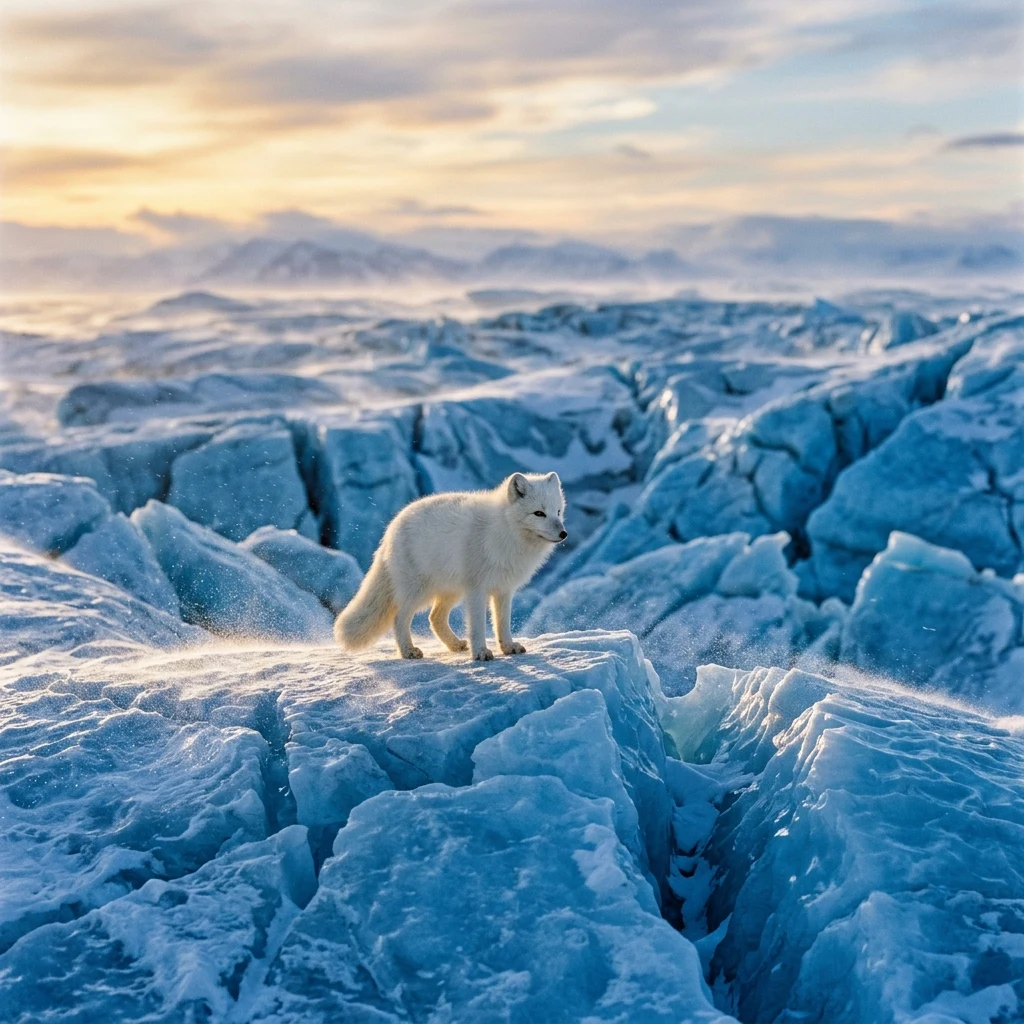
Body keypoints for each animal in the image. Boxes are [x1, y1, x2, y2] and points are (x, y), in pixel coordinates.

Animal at [334, 472, 567, 661]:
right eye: (539, 513)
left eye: (558, 512)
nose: (564, 534)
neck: (504, 531)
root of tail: (390, 530)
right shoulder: (477, 589)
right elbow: (477, 626)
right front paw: (480, 653)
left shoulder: (504, 589)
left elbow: (502, 624)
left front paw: (508, 647)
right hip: (419, 591)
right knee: (399, 618)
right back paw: (408, 651)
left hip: (450, 591)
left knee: (434, 618)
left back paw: (455, 645)